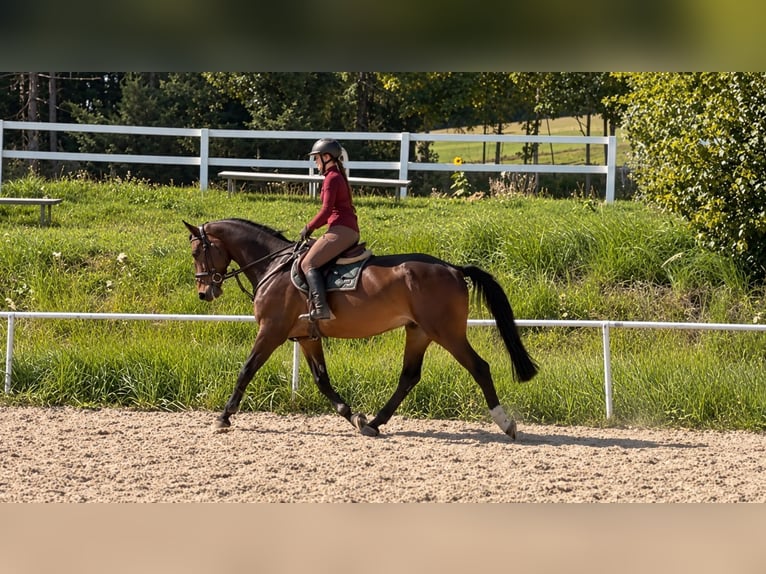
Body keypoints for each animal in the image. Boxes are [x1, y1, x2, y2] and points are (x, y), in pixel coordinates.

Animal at [184, 218, 537, 439]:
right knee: (409, 377)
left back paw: (505, 423)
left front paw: (223, 417)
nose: (204, 293)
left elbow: (246, 370)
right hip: (419, 332)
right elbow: (322, 380)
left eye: (197, 251)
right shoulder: (306, 337)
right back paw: (376, 423)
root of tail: (453, 268)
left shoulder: (271, 331)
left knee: (479, 367)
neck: (274, 266)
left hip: (446, 332)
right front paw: (353, 416)